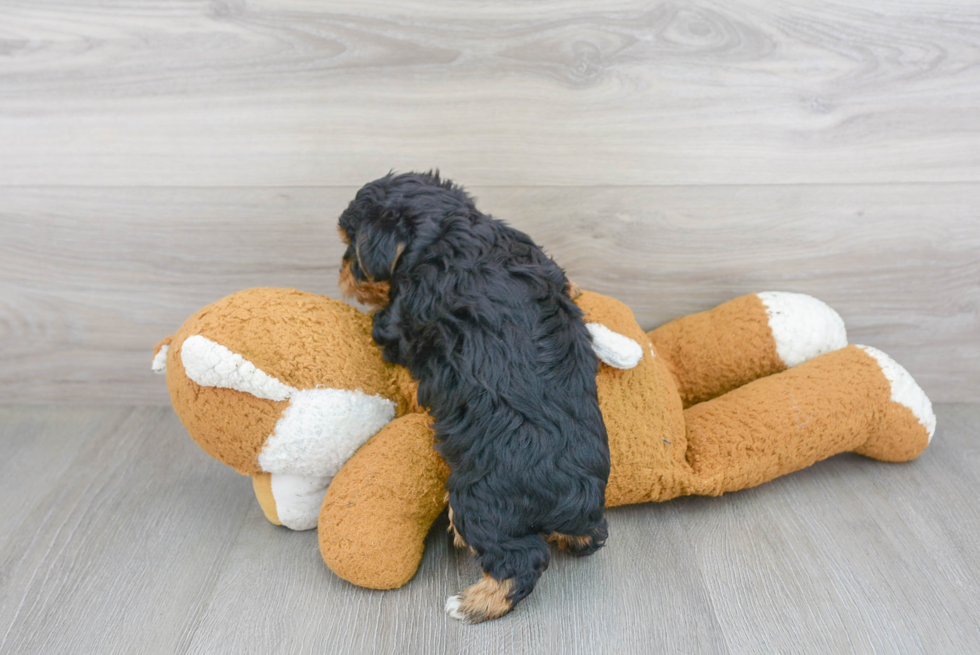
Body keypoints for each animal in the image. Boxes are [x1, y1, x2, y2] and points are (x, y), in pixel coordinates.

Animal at [340, 172, 608, 624]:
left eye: (350, 245)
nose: (342, 271)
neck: (451, 228)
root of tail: (576, 500)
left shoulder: (404, 318)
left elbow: (388, 329)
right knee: (590, 537)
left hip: (479, 501)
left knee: (519, 560)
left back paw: (471, 604)